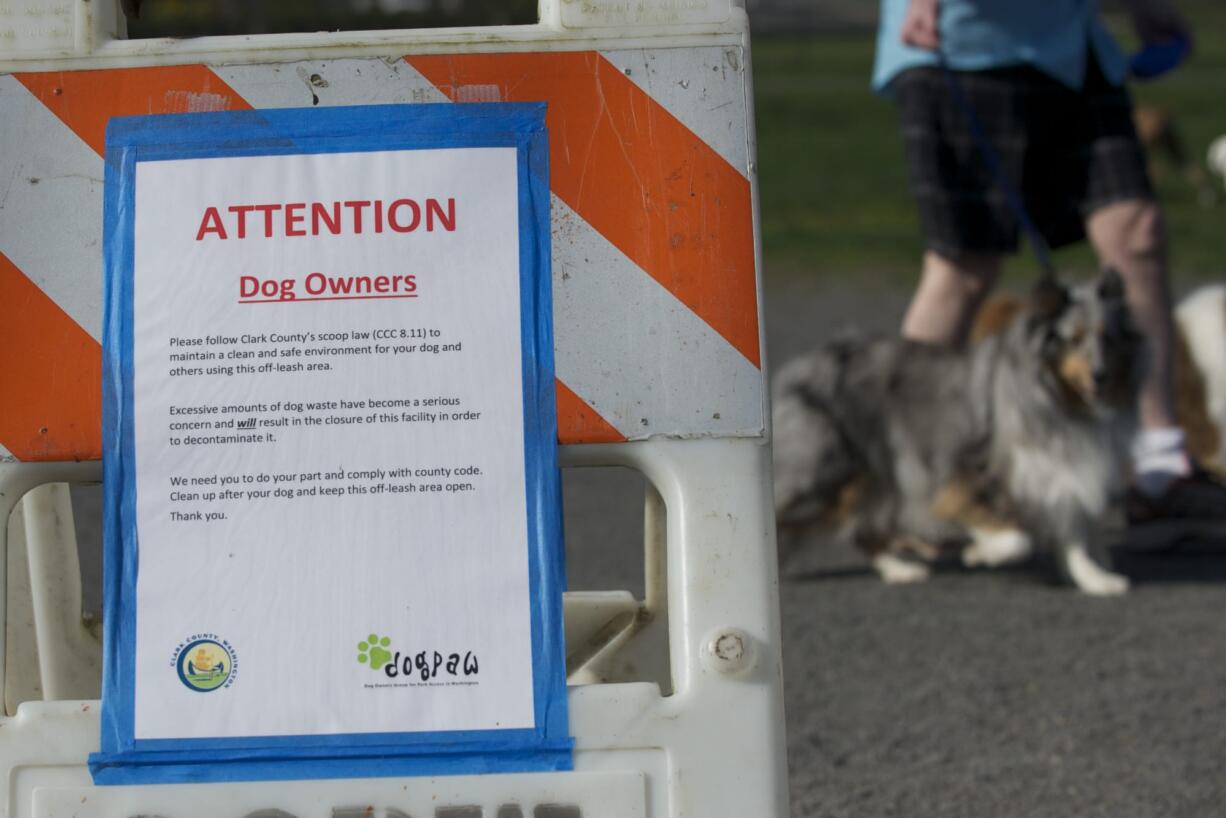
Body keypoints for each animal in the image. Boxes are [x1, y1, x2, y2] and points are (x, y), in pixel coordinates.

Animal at [774, 272, 1137, 598]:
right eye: (1073, 339)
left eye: (1108, 338)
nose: (1100, 376)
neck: (1056, 402)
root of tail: (801, 366)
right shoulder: (962, 476)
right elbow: (1016, 538)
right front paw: (981, 552)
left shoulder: (1056, 474)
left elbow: (1070, 535)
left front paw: (1095, 579)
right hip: (832, 480)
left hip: (875, 479)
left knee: (862, 531)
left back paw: (901, 569)